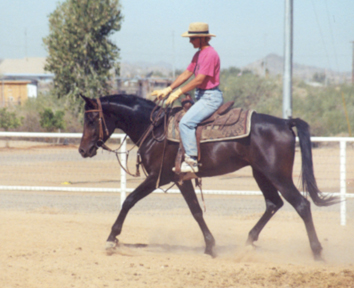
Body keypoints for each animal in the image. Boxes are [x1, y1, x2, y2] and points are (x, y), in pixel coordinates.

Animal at [78, 93, 338, 260]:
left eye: (91, 119)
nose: (82, 150)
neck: (154, 129)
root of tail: (285, 122)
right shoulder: (181, 179)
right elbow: (196, 210)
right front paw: (210, 246)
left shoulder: (157, 178)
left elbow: (129, 200)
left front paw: (111, 238)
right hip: (261, 174)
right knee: (273, 203)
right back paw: (248, 243)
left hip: (278, 175)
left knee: (301, 204)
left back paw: (317, 252)